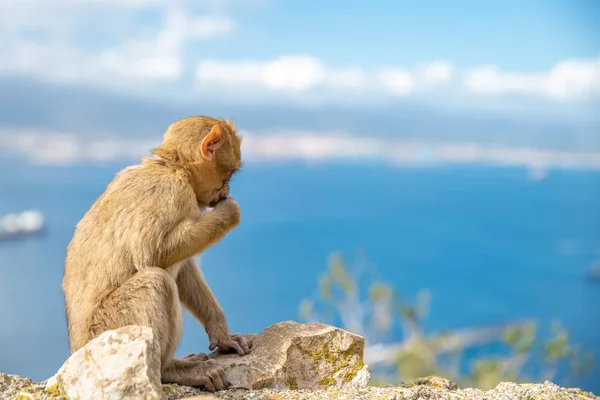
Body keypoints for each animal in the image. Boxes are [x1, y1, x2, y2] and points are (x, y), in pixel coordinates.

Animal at [60, 115, 248, 390]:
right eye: (229, 174)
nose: (225, 193)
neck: (173, 168)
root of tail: (77, 352)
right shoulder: (173, 192)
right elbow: (152, 255)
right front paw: (231, 211)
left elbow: (184, 270)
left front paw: (222, 335)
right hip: (111, 334)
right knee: (155, 280)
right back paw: (167, 369)